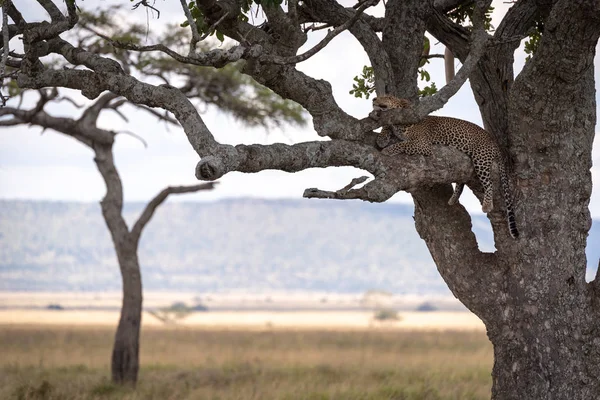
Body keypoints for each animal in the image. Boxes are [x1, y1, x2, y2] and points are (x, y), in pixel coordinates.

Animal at [372, 94, 516, 238]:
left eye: (387, 96)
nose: (374, 99)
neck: (400, 125)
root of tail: (494, 142)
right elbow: (387, 127)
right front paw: (382, 138)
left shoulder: (423, 144)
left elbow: (403, 144)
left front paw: (388, 150)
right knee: (461, 182)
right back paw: (453, 199)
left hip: (481, 158)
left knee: (489, 183)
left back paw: (487, 205)